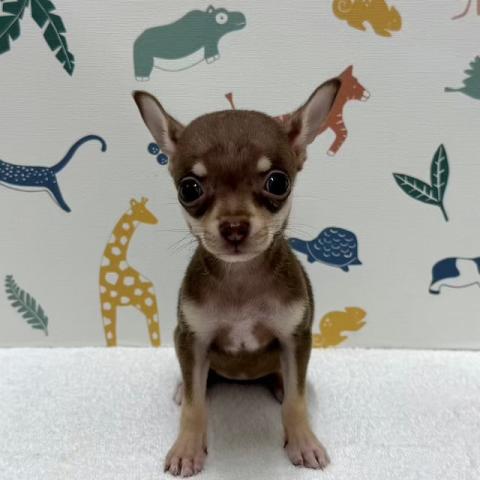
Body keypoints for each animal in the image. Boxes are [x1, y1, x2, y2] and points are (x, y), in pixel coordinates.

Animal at [133, 76, 340, 477]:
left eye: (278, 183)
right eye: (189, 189)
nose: (233, 227)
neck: (241, 278)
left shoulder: (295, 338)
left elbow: (296, 401)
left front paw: (302, 441)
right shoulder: (193, 339)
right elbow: (195, 406)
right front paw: (187, 447)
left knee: (289, 383)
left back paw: (279, 382)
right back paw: (183, 386)